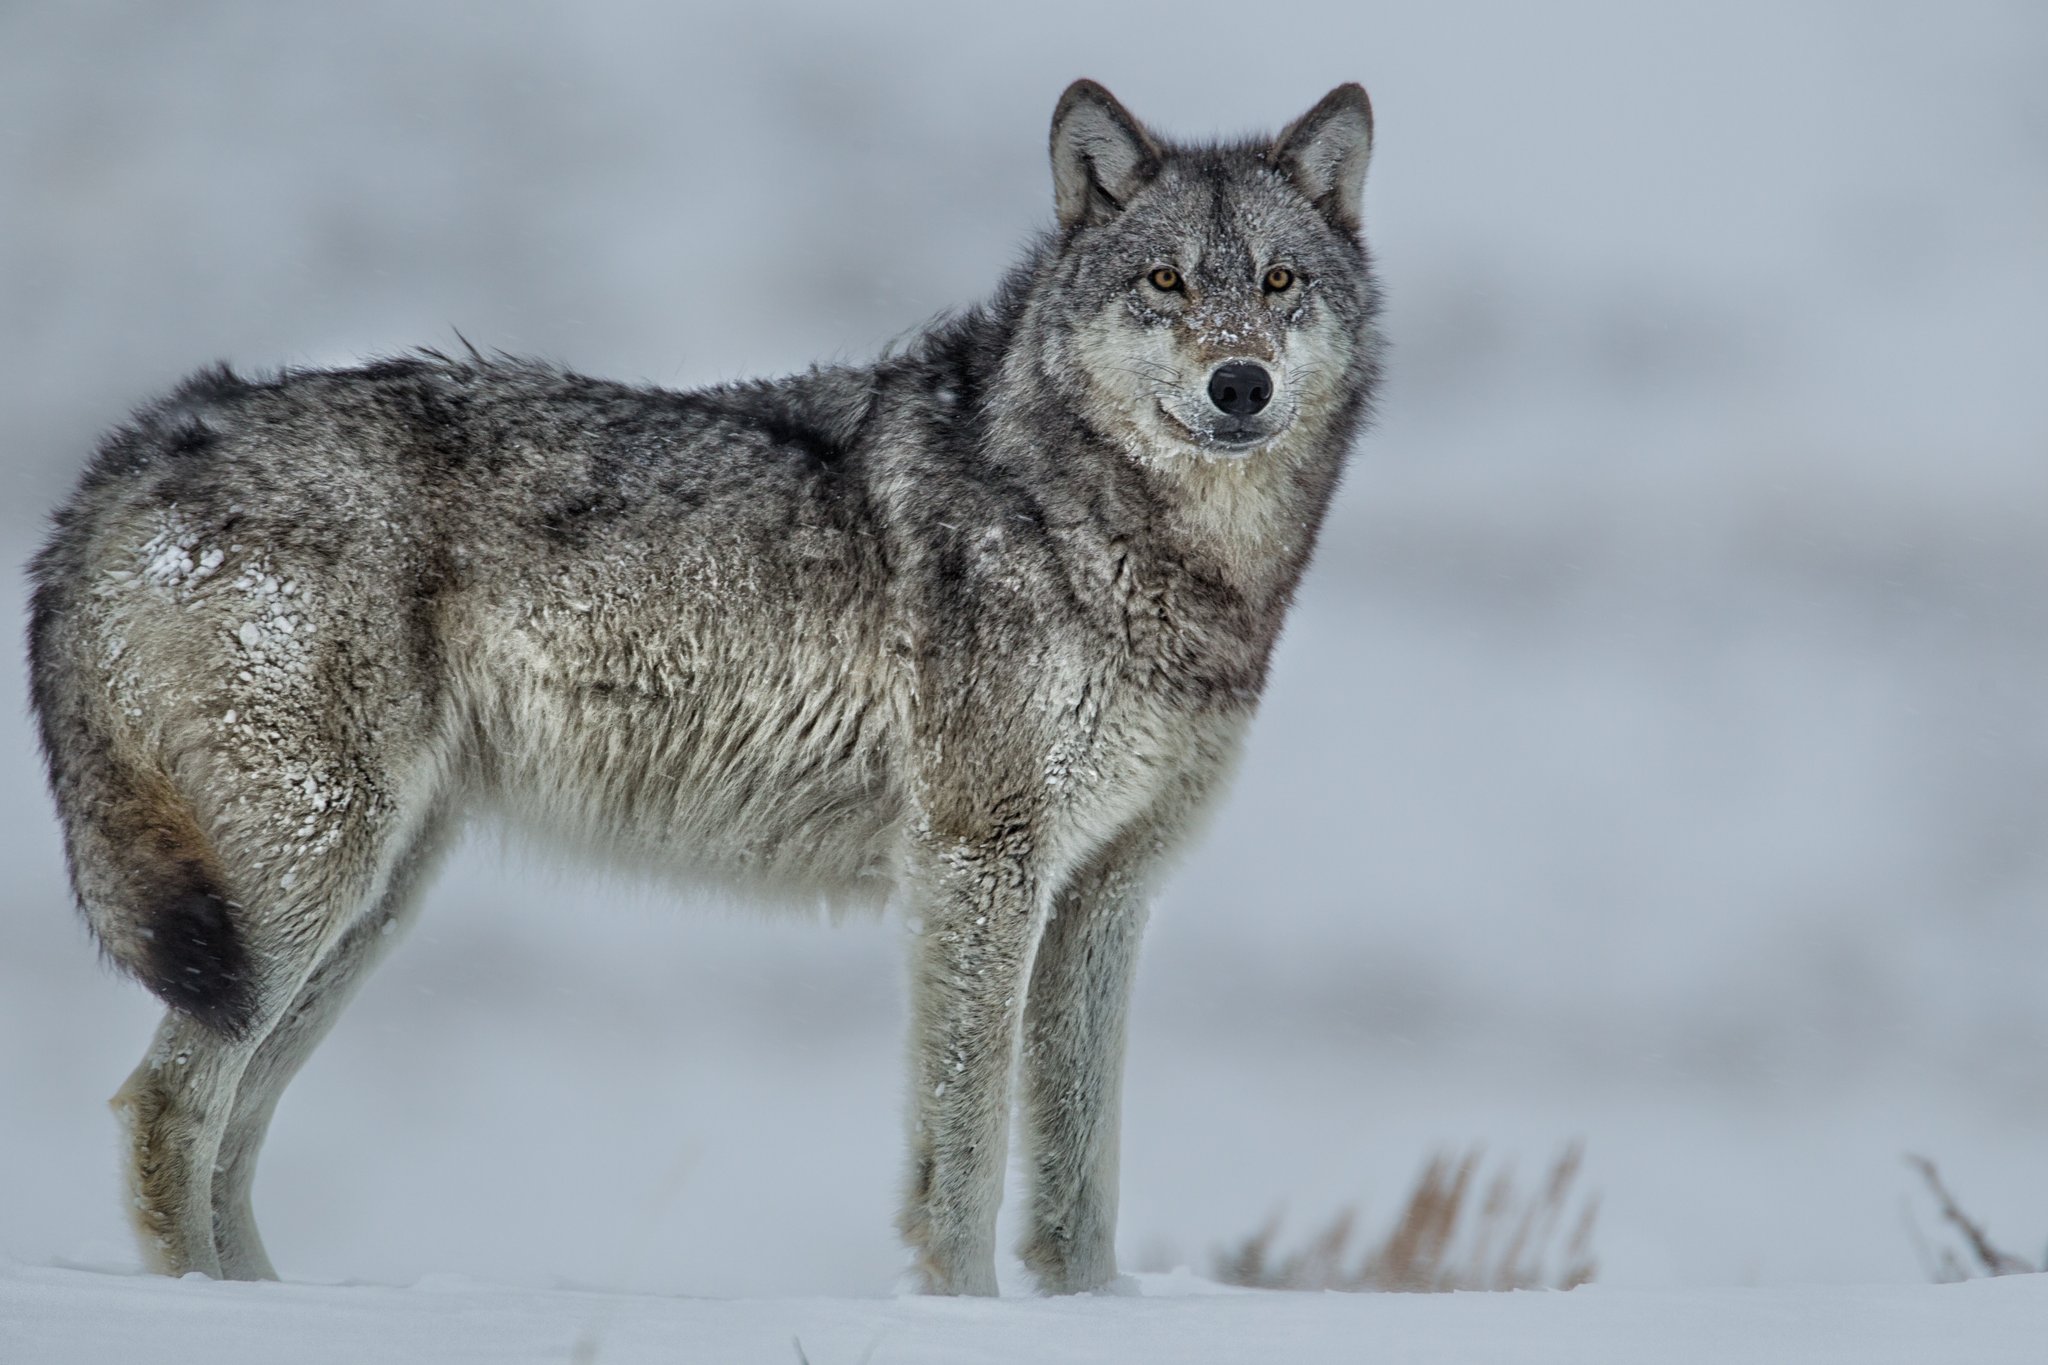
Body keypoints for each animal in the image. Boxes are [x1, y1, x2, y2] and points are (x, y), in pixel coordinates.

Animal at [28, 79, 1381, 1295]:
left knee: (233, 1130)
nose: (1241, 385)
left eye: (1277, 284)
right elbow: (963, 1154)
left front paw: (1085, 1316)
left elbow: (1081, 1174)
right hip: (300, 893)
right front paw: (962, 1315)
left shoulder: (1106, 893)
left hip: (365, 907)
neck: (1126, 539)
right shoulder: (977, 864)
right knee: (169, 1107)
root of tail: (140, 444)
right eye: (1164, 284)